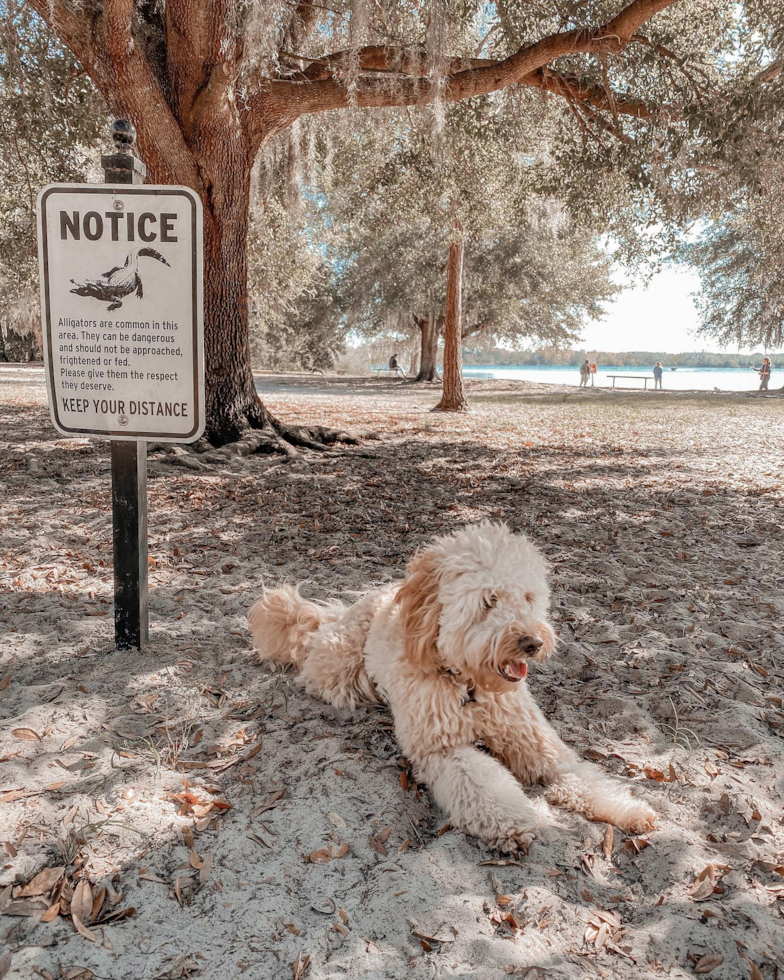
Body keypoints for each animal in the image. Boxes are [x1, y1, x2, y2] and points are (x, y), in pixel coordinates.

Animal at [248, 520, 652, 848]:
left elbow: (582, 776)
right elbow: (482, 783)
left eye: (527, 597)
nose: (533, 642)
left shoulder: (538, 744)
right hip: (343, 669)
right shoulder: (443, 749)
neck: (472, 688)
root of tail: (342, 613)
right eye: (489, 601)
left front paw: (630, 808)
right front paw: (510, 821)